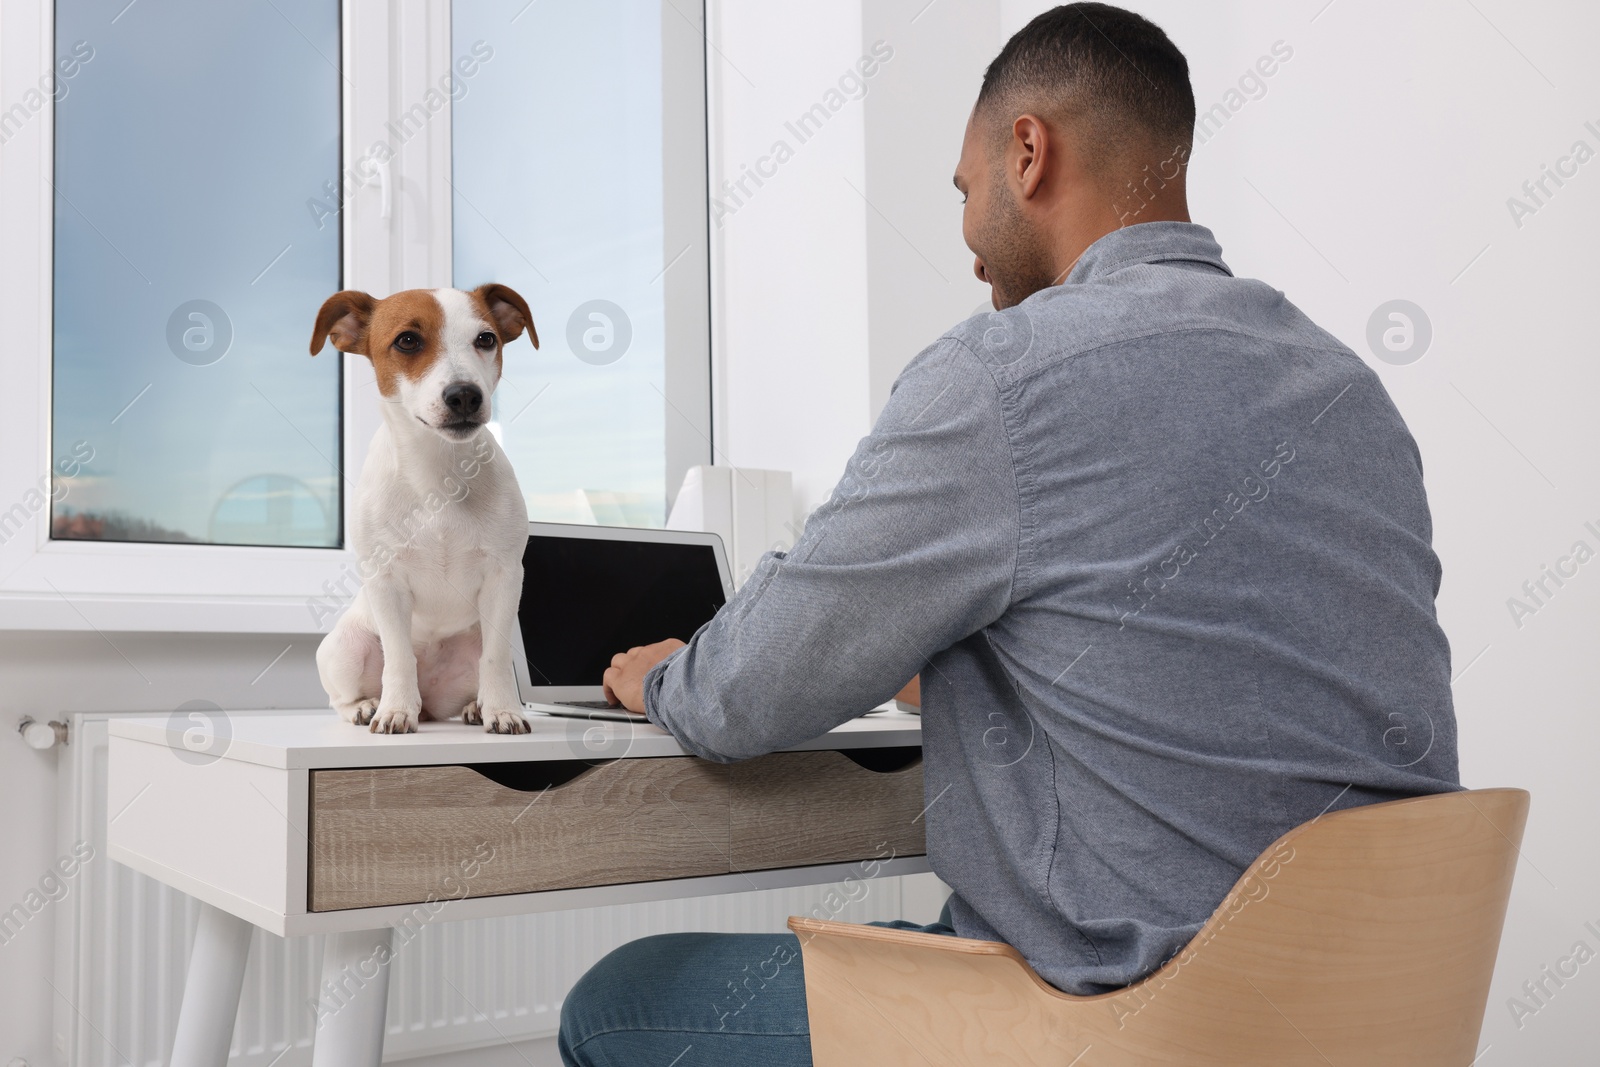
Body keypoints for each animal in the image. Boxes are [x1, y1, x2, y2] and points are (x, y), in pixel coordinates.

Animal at [308, 286, 540, 735]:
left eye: (486, 339)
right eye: (407, 341)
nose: (465, 394)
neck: (438, 472)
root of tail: (431, 704)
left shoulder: (504, 578)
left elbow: (495, 659)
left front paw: (503, 710)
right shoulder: (386, 582)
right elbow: (399, 657)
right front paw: (395, 710)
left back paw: (475, 706)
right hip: (343, 647)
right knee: (340, 698)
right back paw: (368, 706)